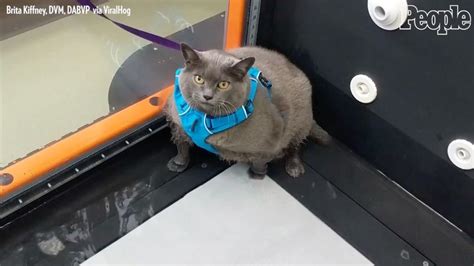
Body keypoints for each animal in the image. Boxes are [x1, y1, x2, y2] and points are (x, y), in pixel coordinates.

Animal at [164, 43, 330, 179]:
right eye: (199, 79)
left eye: (223, 84)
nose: (207, 96)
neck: (206, 118)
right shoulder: (177, 122)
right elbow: (181, 146)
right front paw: (178, 163)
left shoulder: (272, 141)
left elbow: (260, 160)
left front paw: (257, 174)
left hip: (301, 120)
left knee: (295, 145)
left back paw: (294, 167)